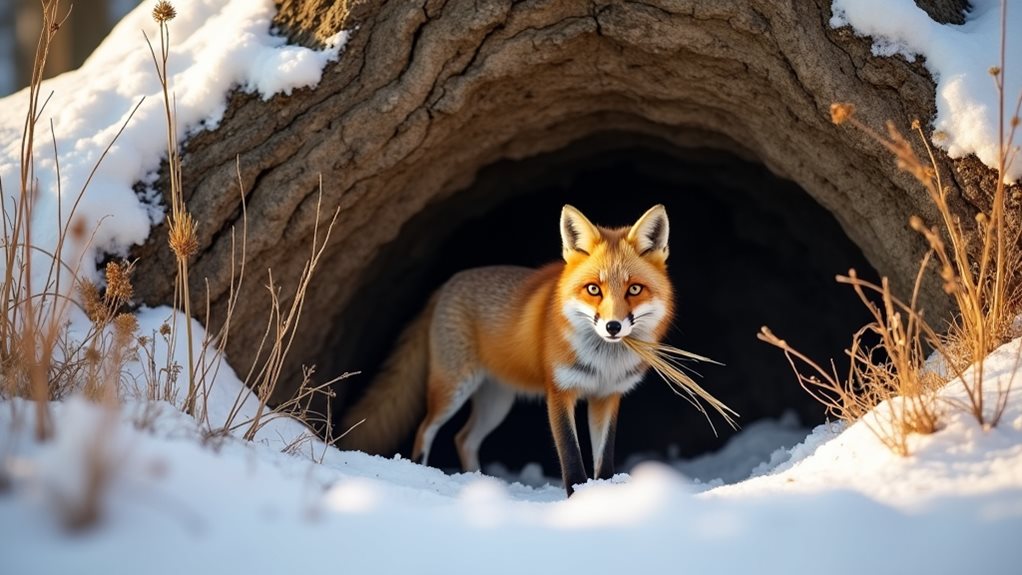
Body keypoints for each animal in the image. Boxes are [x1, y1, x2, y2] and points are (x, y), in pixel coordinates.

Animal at [339, 204, 674, 496]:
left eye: (634, 289)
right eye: (594, 289)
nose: (613, 326)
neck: (604, 363)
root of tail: (447, 284)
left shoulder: (607, 396)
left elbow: (604, 462)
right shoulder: (559, 393)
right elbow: (571, 457)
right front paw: (579, 500)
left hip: (496, 403)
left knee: (464, 439)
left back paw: (479, 482)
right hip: (452, 390)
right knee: (425, 430)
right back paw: (423, 470)